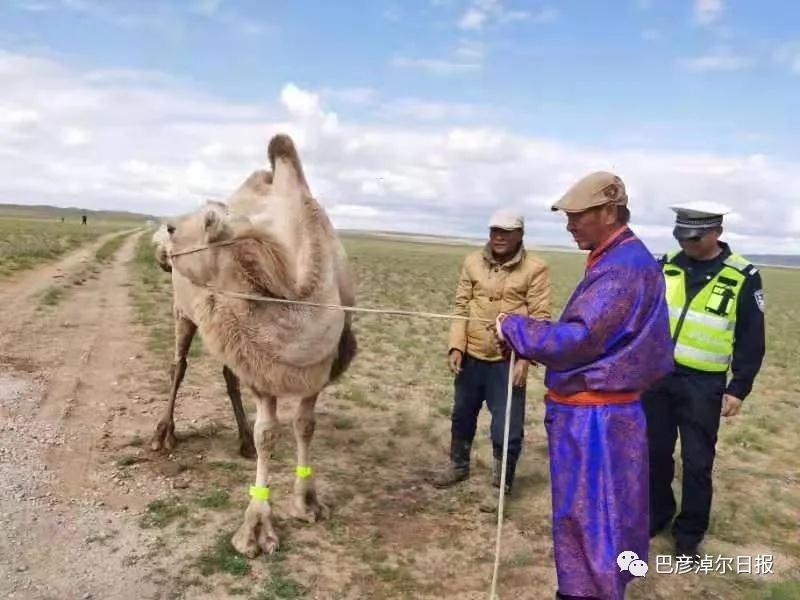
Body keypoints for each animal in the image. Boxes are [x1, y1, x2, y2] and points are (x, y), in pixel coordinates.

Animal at [156, 134, 356, 556]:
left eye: (171, 228)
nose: (159, 249)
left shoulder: (314, 370)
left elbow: (305, 425)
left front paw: (308, 503)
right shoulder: (264, 367)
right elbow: (269, 435)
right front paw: (255, 531)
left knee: (228, 375)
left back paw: (242, 439)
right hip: (183, 311)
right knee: (179, 365)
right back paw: (162, 435)